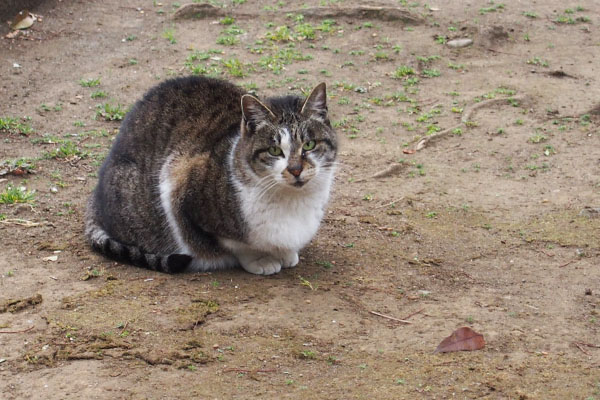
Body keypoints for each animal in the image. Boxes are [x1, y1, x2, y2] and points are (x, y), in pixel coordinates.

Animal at [84, 76, 338, 276]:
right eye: (275, 150)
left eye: (309, 144)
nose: (295, 169)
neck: (292, 200)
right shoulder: (178, 182)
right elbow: (236, 245)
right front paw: (261, 259)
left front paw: (286, 253)